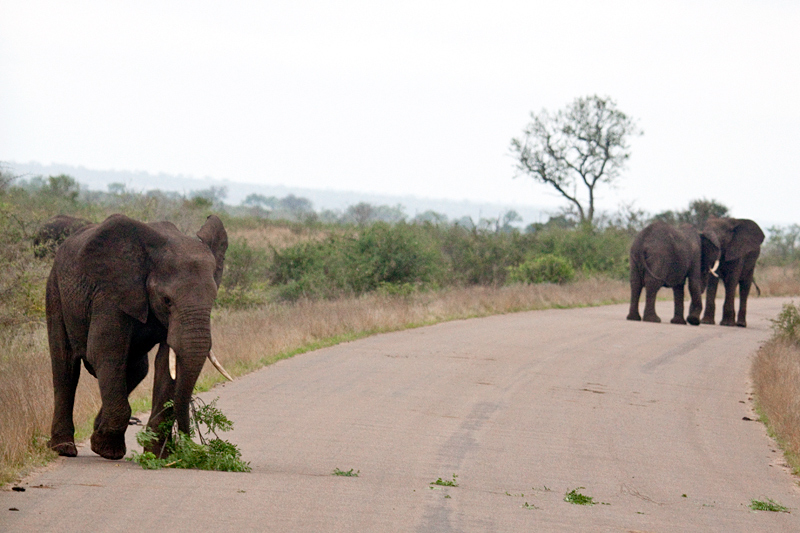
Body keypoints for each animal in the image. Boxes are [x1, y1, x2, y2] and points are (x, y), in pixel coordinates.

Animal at [47, 212, 233, 458]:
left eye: (213, 299)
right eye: (167, 300)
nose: (191, 445)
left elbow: (166, 364)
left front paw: (158, 455)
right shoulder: (110, 293)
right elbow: (105, 352)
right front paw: (107, 450)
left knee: (137, 369)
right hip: (55, 290)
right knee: (65, 368)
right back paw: (64, 448)